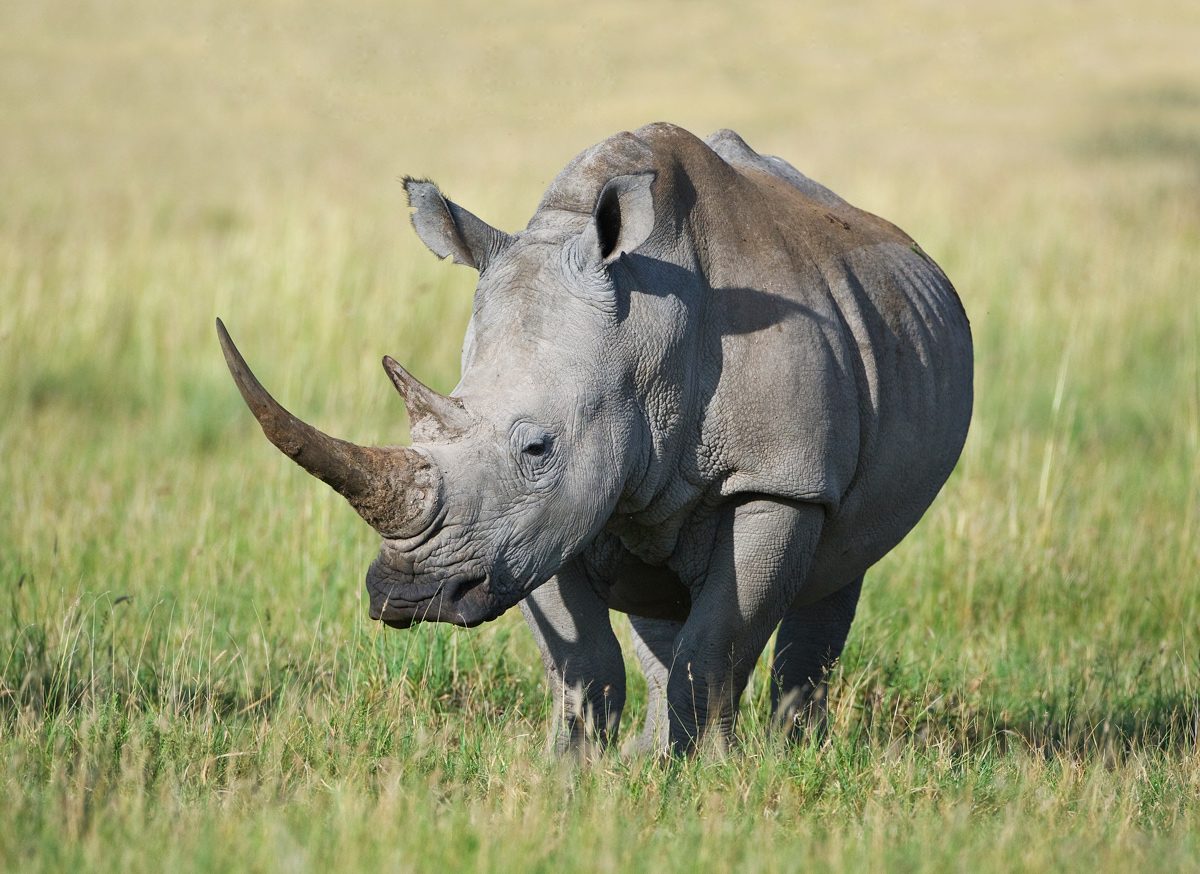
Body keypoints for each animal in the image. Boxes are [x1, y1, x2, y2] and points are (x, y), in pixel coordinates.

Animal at [217, 123, 973, 754]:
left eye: (537, 448)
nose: (408, 595)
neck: (645, 333)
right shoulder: (528, 527)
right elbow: (584, 663)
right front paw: (573, 774)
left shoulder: (780, 479)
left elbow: (718, 645)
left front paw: (717, 776)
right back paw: (652, 752)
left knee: (834, 577)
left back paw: (793, 753)